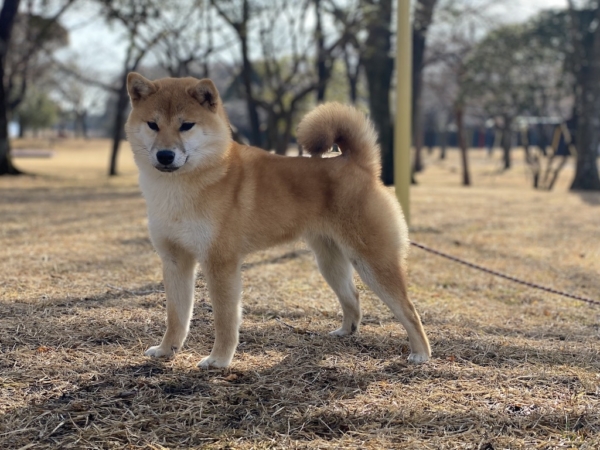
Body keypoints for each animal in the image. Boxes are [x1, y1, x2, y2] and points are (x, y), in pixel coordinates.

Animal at [125, 73, 432, 370]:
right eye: (153, 124)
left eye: (186, 125)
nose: (165, 155)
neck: (179, 189)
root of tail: (358, 165)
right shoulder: (175, 260)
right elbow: (176, 316)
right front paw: (166, 350)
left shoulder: (220, 264)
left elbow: (225, 320)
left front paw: (219, 360)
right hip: (330, 262)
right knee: (353, 298)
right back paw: (346, 331)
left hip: (373, 261)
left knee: (408, 309)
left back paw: (421, 353)